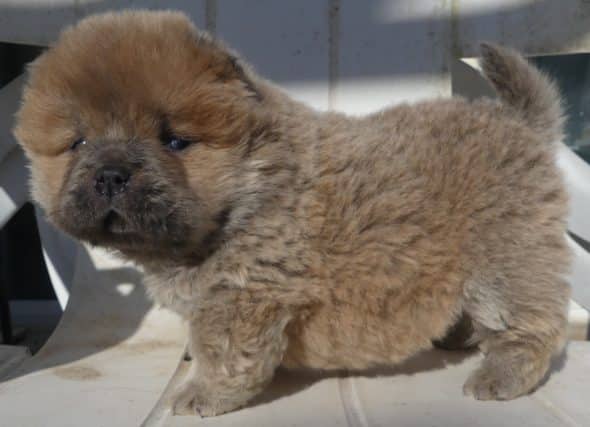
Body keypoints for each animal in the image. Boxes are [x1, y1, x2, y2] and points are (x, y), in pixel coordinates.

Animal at [13, 10, 572, 418]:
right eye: (79, 143)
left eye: (174, 141)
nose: (110, 174)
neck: (247, 192)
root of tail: (521, 123)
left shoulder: (242, 295)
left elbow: (223, 354)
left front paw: (200, 395)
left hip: (507, 259)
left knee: (530, 327)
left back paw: (498, 376)